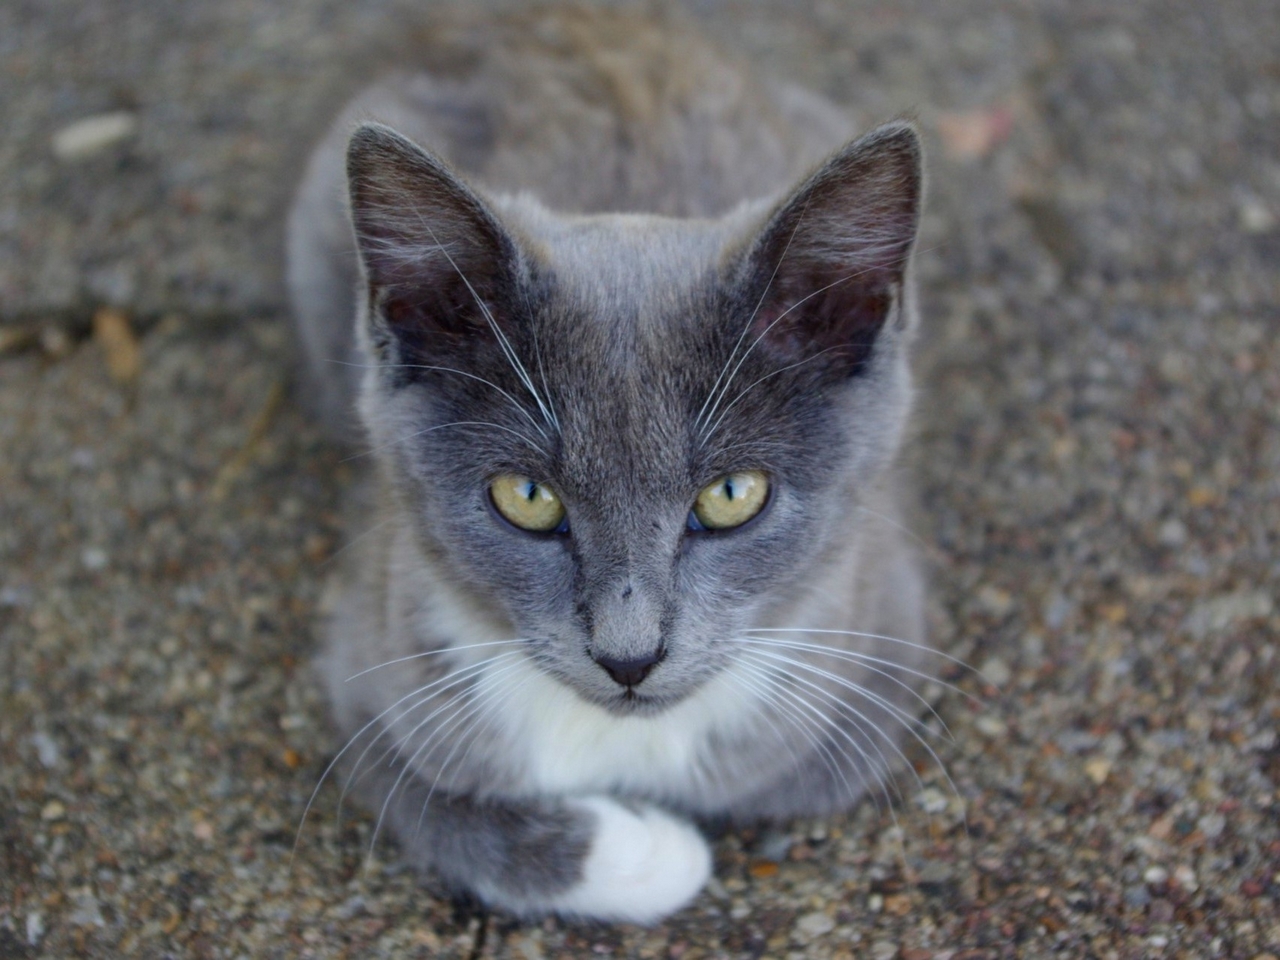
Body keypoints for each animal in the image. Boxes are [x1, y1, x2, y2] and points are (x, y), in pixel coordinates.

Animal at [288, 5, 931, 926]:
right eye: (526, 496)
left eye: (733, 494)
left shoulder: (878, 644)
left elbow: (795, 775)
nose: (630, 658)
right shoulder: (372, 650)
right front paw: (648, 852)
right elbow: (422, 796)